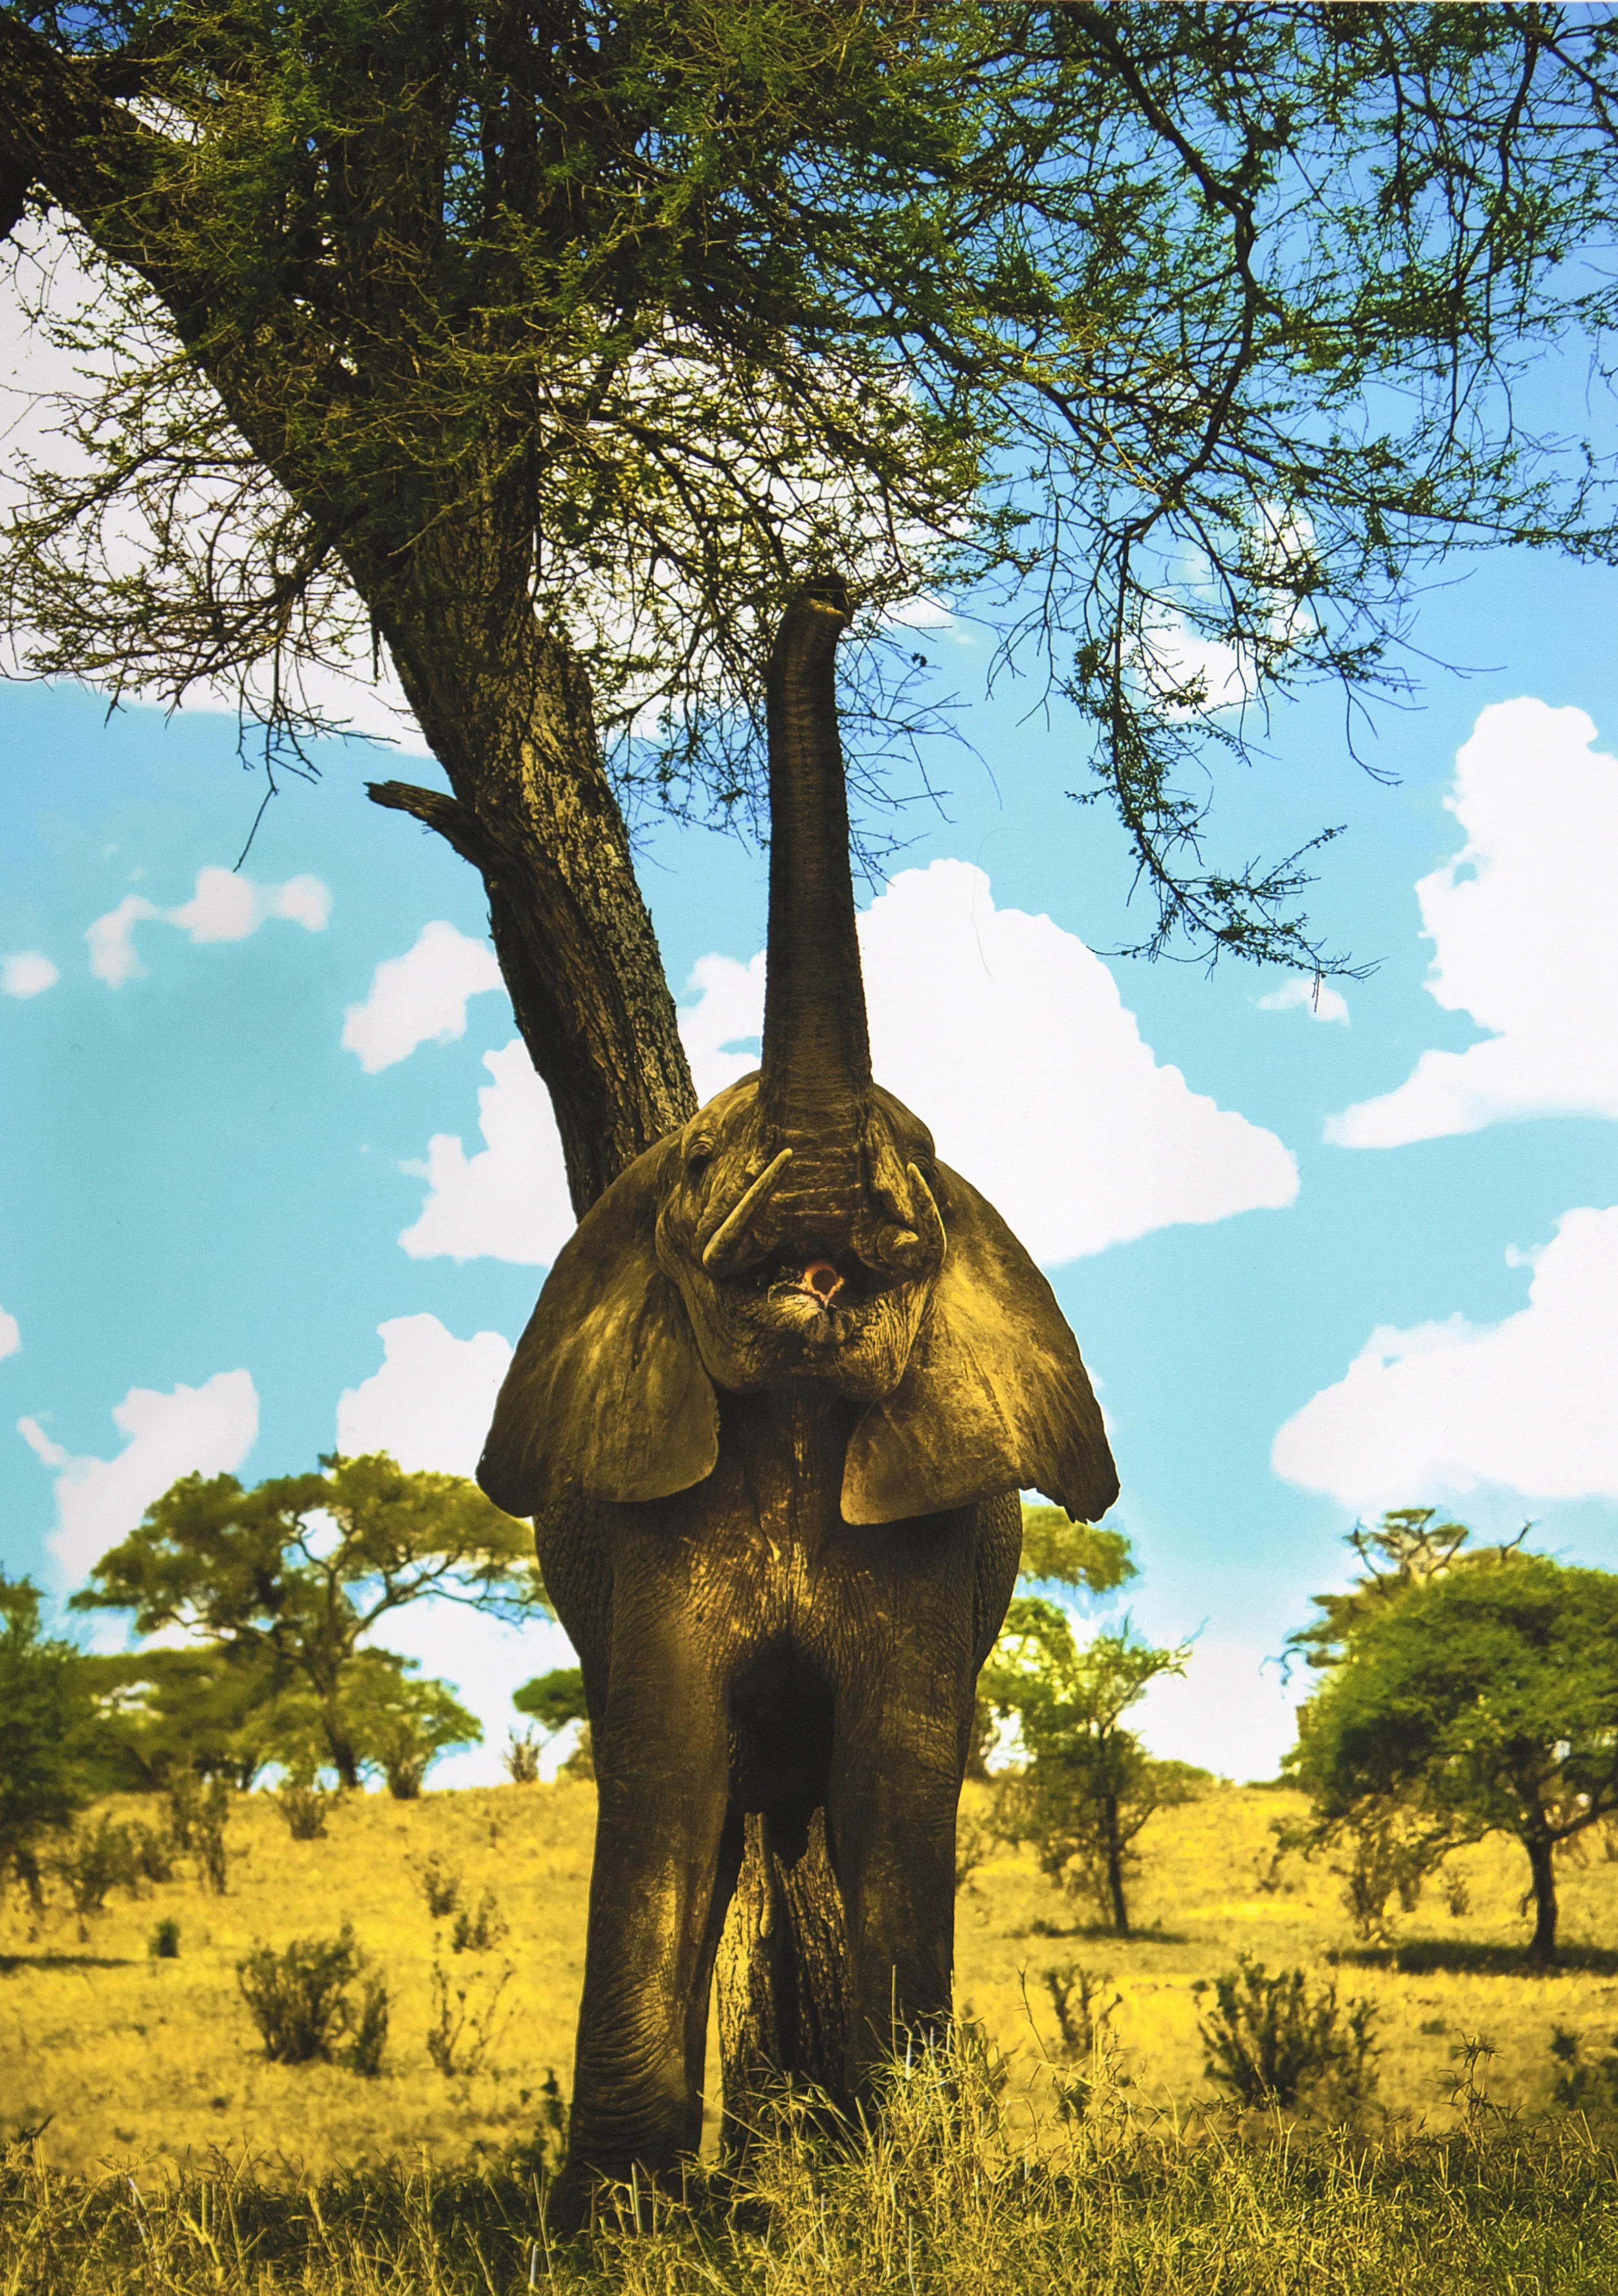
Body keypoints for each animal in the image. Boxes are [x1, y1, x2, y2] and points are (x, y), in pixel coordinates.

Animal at [477, 576, 1118, 2216]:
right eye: (703, 1163)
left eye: (922, 1161)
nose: (822, 588)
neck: (792, 1409)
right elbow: (664, 1768)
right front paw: (620, 2222)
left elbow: (894, 1781)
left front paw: (904, 2183)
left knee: (818, 1812)